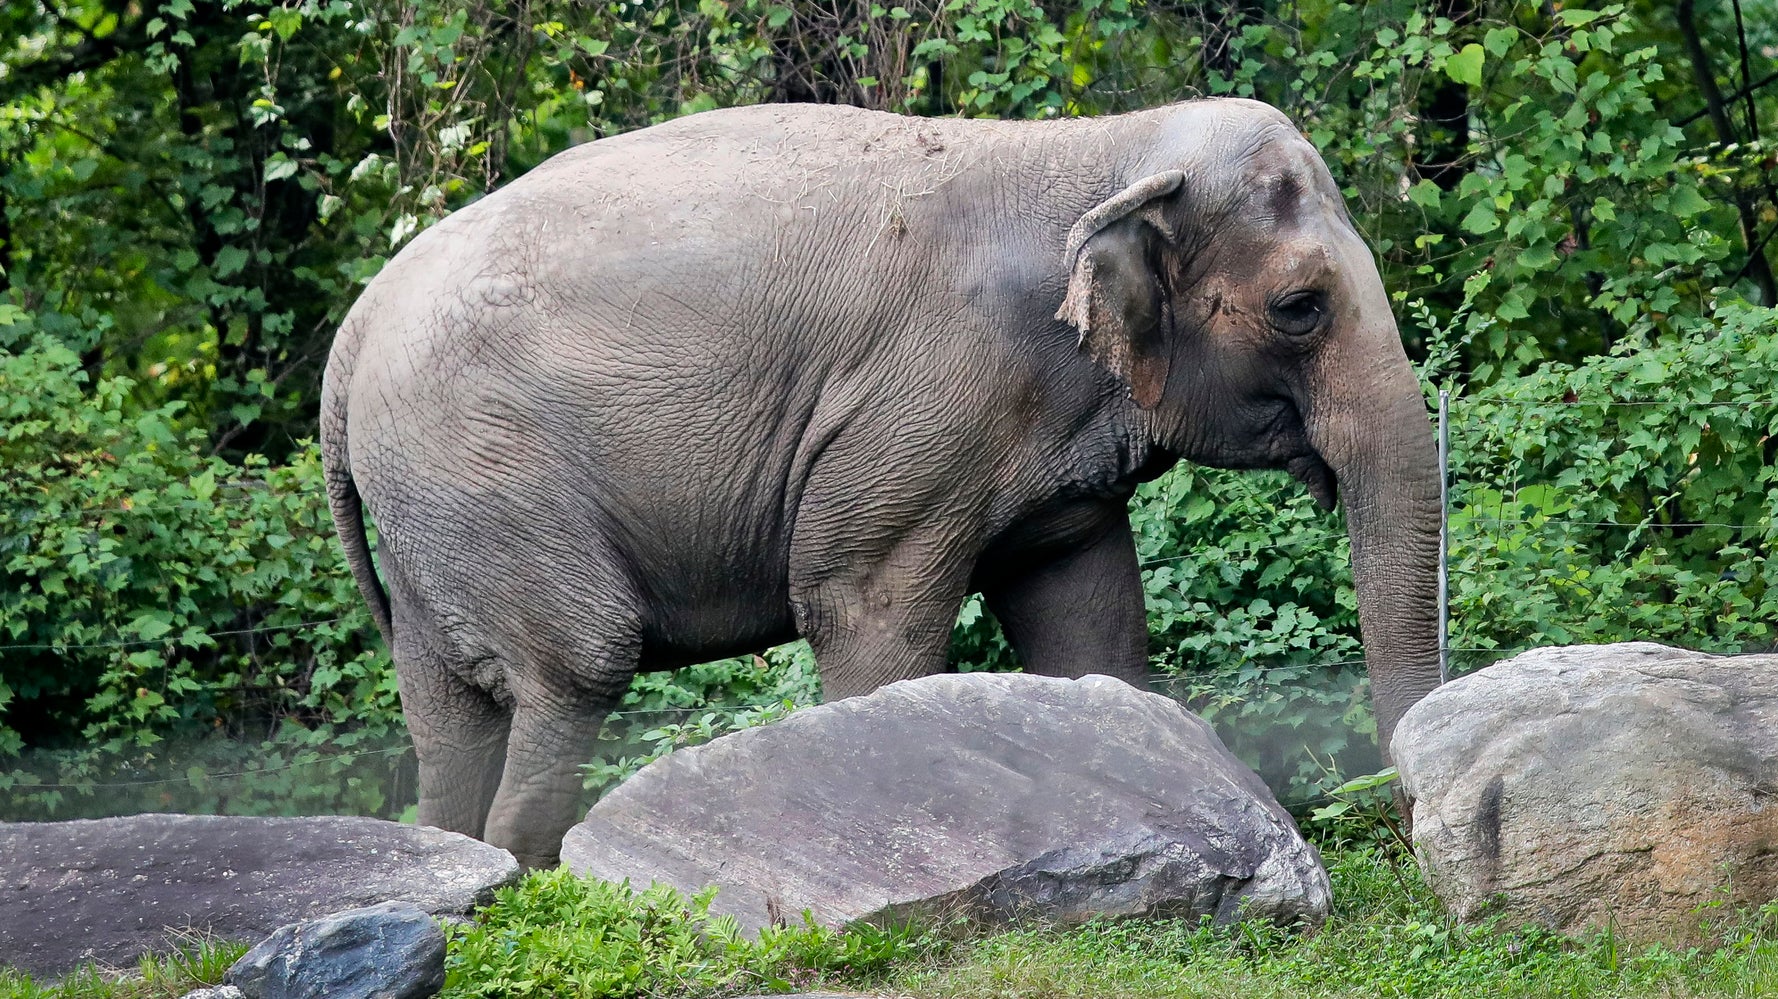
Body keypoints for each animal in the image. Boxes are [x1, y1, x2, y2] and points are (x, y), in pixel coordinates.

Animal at [321, 97, 1441, 869]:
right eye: (1299, 307)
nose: (1400, 820)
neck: (1100, 148)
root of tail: (354, 331)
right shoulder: (922, 407)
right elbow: (865, 609)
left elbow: (1089, 621)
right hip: (486, 472)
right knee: (576, 666)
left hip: (431, 510)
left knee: (446, 712)